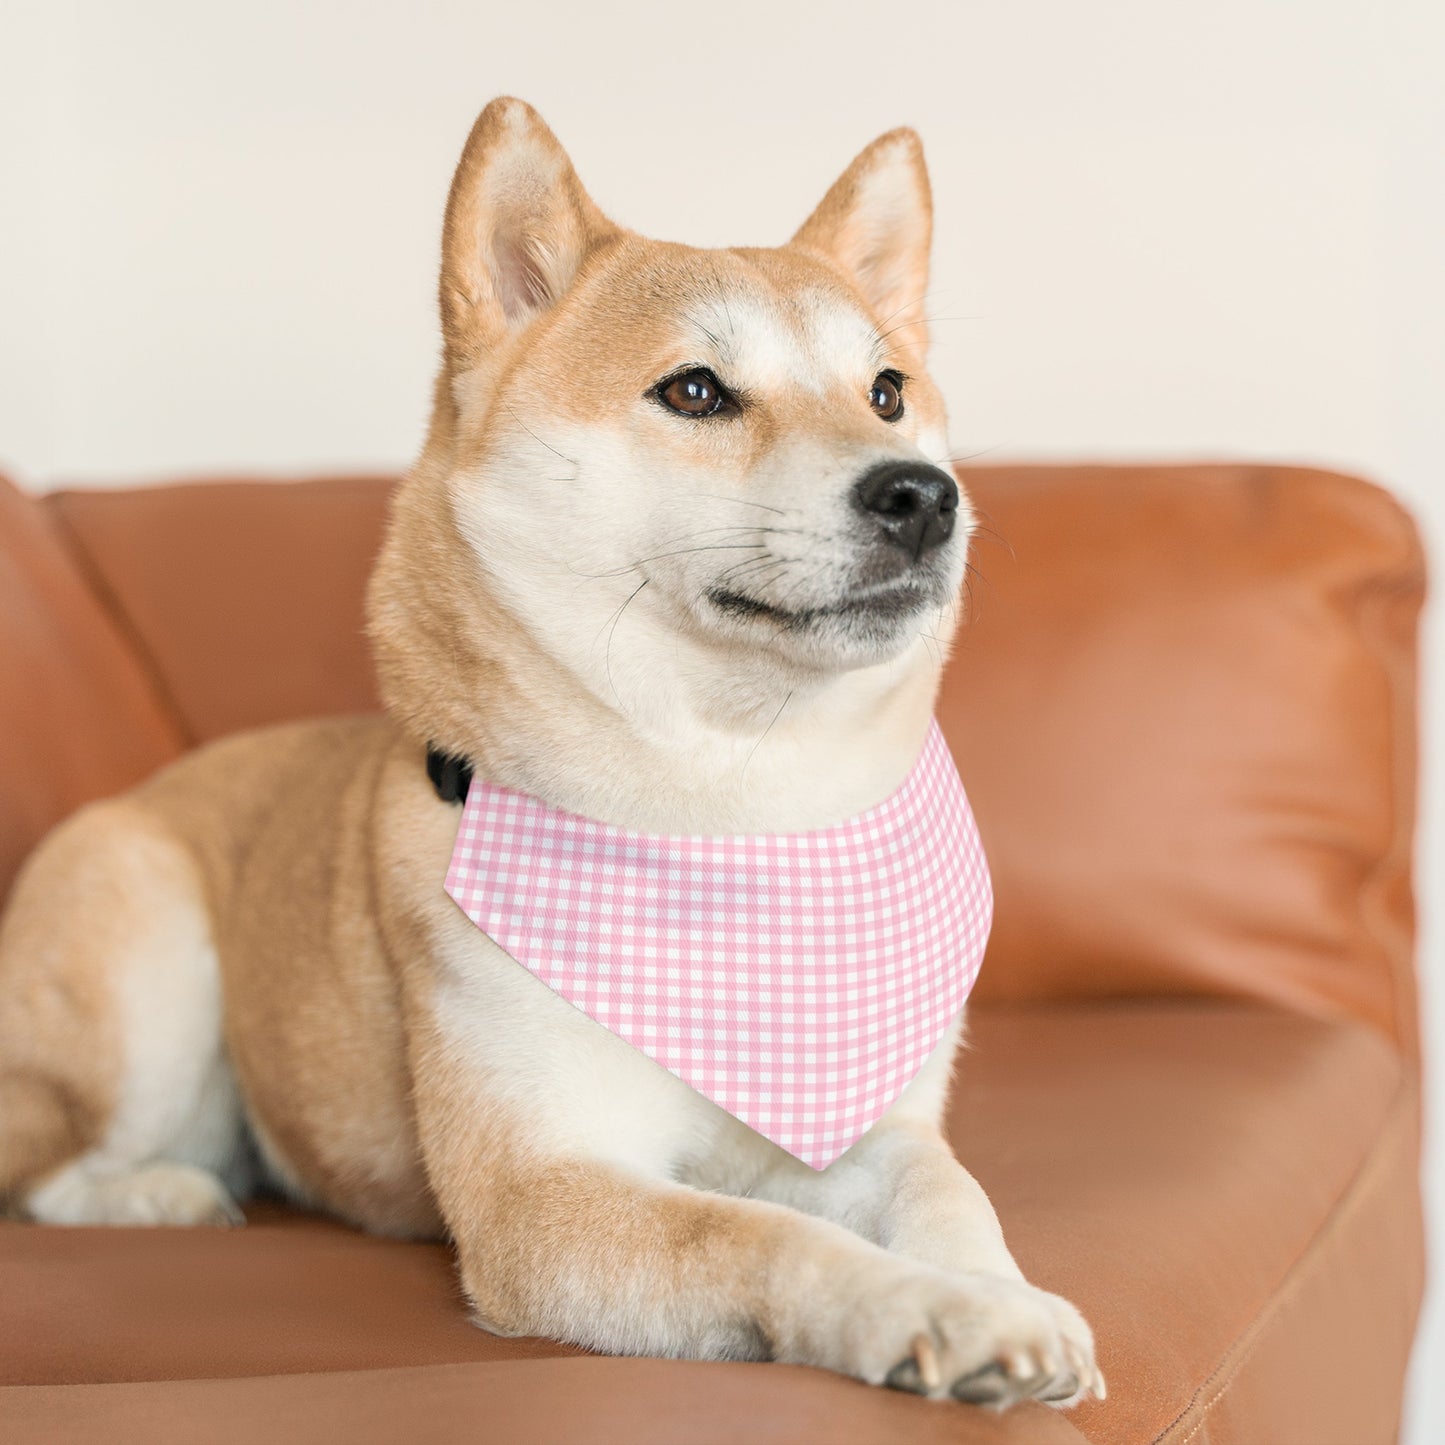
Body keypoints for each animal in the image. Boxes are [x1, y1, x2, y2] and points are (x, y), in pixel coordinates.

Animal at [0, 96, 1092, 1404]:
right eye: (694, 390)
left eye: (886, 390)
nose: (923, 495)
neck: (731, 818)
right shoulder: (541, 1192)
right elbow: (765, 1235)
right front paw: (927, 1307)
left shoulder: (868, 1120)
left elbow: (946, 1189)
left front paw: (1001, 1292)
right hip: (145, 968)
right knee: (47, 1167)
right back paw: (165, 1192)